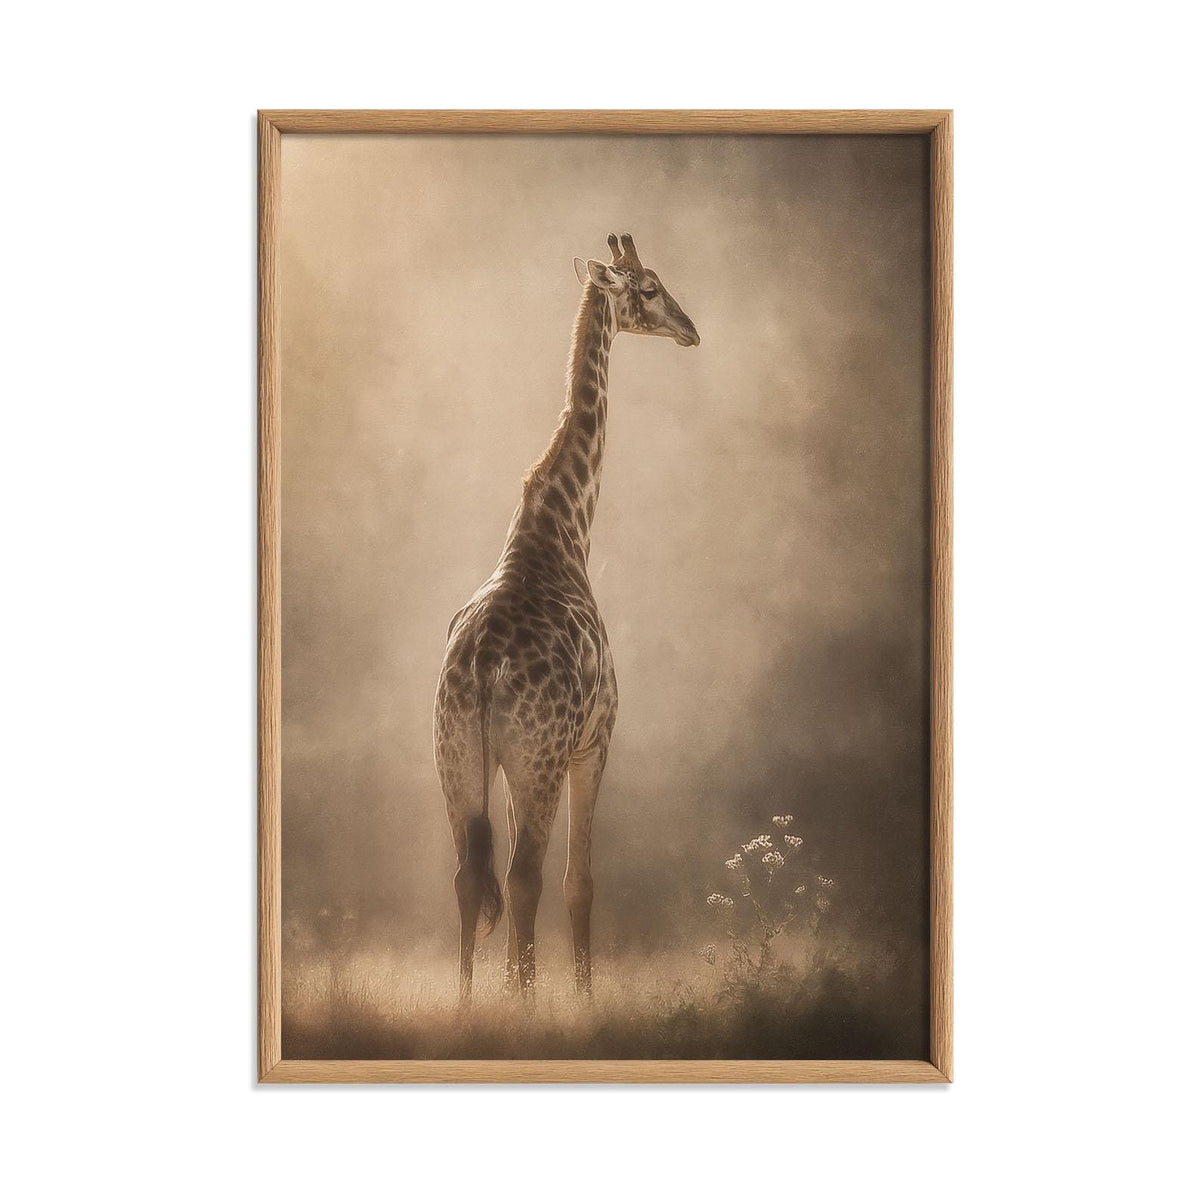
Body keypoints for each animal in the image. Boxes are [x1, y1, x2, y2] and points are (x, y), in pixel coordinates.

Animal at [433, 233, 699, 1001]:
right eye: (648, 288)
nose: (689, 329)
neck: (563, 527)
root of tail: (484, 669)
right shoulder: (596, 738)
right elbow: (580, 881)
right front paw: (582, 999)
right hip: (539, 756)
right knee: (524, 877)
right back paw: (523, 1008)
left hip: (457, 755)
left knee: (470, 878)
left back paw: (468, 1007)